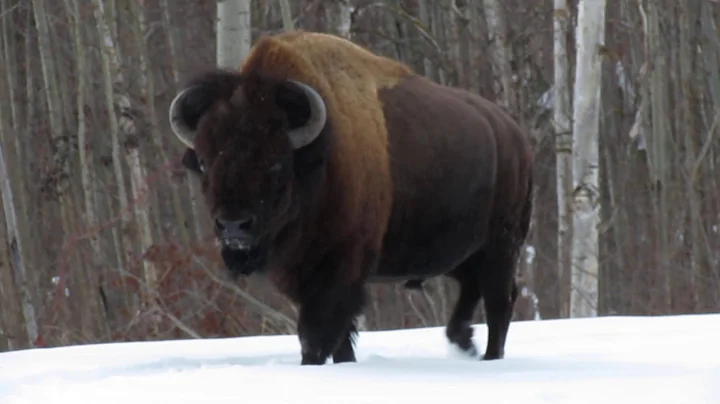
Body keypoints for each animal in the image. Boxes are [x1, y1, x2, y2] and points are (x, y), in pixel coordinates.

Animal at [168, 30, 534, 366]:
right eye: (204, 162)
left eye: (276, 162)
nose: (233, 226)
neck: (319, 157)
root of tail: (514, 135)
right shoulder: (300, 273)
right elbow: (337, 336)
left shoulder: (338, 269)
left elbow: (318, 334)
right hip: (462, 254)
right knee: (474, 290)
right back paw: (464, 342)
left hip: (501, 247)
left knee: (499, 301)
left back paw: (490, 357)